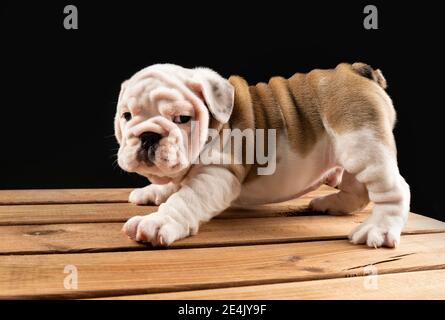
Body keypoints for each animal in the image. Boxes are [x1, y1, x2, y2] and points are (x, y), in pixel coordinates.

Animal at [114, 62, 410, 248]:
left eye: (183, 119)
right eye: (126, 115)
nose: (148, 135)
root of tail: (357, 71)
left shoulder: (217, 176)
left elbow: (184, 200)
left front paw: (157, 223)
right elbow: (174, 184)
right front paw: (153, 191)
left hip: (362, 145)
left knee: (393, 189)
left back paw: (379, 229)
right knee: (357, 190)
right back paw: (331, 203)